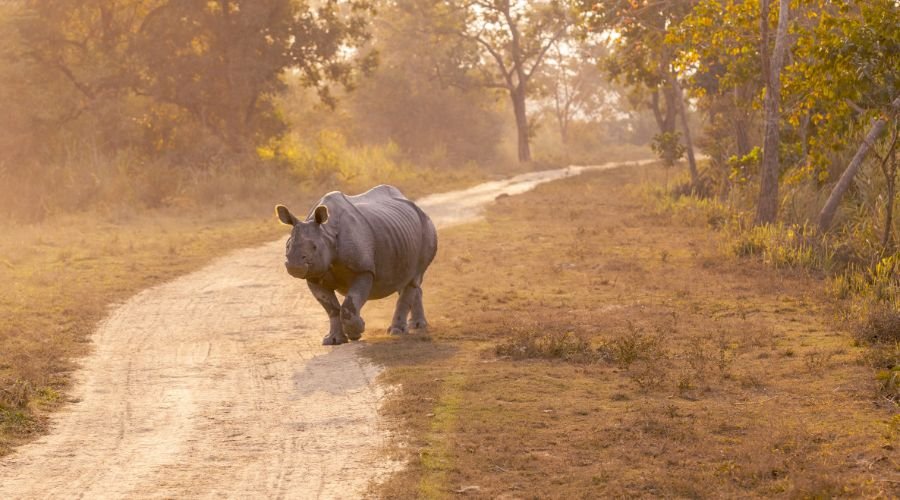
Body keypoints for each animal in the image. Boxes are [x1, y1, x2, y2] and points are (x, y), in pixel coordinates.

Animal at [276, 185, 438, 345]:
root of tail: (414, 205)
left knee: (413, 278)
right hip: (400, 234)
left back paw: (397, 331)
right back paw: (416, 325)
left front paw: (357, 331)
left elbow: (349, 305)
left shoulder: (364, 269)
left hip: (427, 227)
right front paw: (333, 340)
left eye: (314, 247)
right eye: (287, 246)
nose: (295, 266)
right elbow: (331, 308)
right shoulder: (314, 275)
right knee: (406, 279)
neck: (327, 233)